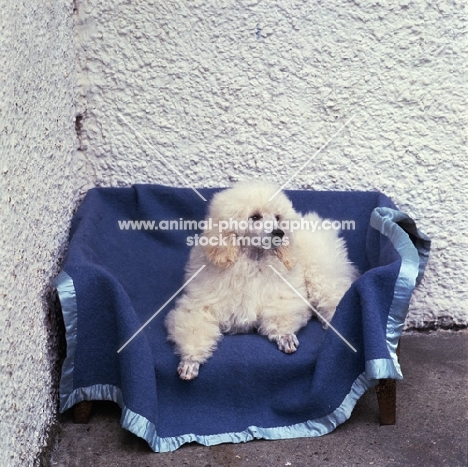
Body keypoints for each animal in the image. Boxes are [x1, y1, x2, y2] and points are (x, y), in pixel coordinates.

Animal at [165, 181, 358, 382]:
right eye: (255, 217)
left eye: (277, 218)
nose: (279, 233)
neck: (253, 260)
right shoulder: (198, 307)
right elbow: (194, 327)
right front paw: (190, 360)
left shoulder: (284, 297)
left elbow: (280, 314)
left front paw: (285, 336)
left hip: (322, 273)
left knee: (333, 298)